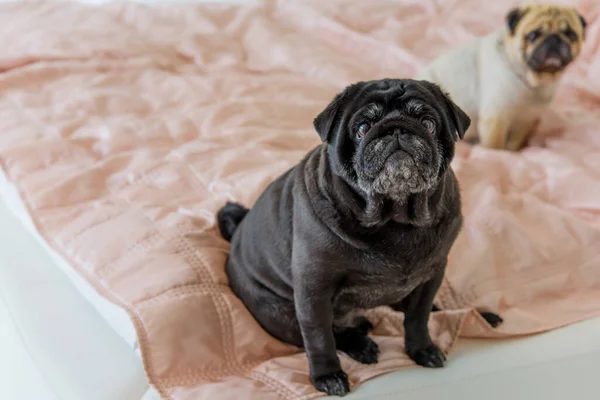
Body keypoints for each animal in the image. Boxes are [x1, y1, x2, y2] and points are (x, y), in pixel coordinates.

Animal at [218, 79, 500, 396]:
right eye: (363, 128)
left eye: (428, 124)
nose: (396, 129)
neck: (395, 218)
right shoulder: (313, 290)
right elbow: (318, 337)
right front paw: (328, 374)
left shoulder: (431, 277)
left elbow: (419, 318)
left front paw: (421, 349)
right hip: (277, 312)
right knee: (327, 332)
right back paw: (360, 343)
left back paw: (478, 316)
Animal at [418, 3, 584, 151]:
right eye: (533, 35)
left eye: (571, 35)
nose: (554, 39)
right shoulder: (496, 117)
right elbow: (495, 144)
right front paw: (497, 154)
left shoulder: (526, 120)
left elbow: (515, 143)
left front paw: (514, 151)